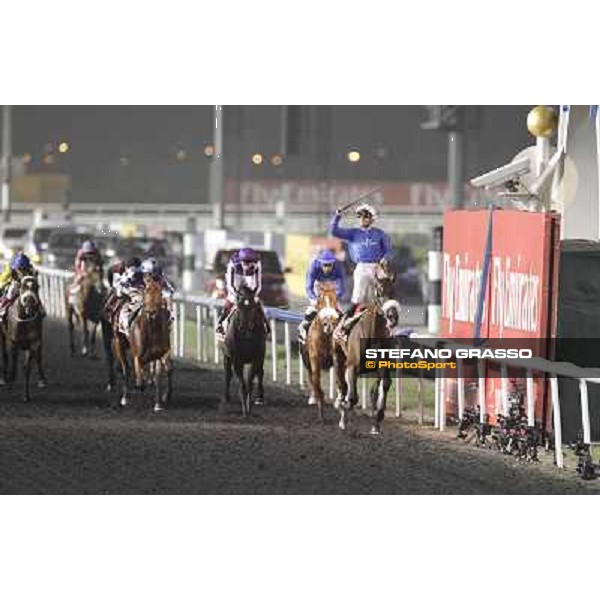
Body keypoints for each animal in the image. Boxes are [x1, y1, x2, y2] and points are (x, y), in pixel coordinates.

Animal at [0, 276, 47, 404]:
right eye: (22, 287)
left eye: (37, 287)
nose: (29, 302)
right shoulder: (13, 342)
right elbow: (13, 366)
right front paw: (10, 381)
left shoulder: (32, 344)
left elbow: (27, 368)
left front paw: (26, 396)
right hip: (2, 335)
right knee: (4, 355)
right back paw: (4, 379)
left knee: (39, 358)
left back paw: (42, 380)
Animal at [112, 278, 171, 412]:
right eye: (146, 290)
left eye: (160, 292)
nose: (151, 312)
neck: (152, 331)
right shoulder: (137, 356)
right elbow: (140, 376)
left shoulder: (161, 353)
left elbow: (164, 373)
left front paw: (160, 401)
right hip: (119, 343)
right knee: (126, 369)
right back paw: (125, 398)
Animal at [220, 286, 264, 418]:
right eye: (239, 307)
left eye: (253, 307)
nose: (244, 328)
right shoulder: (236, 360)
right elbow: (242, 385)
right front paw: (245, 410)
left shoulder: (256, 358)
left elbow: (249, 384)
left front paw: (248, 408)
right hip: (226, 355)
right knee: (228, 373)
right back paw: (226, 397)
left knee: (261, 373)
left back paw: (260, 398)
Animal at [336, 264, 396, 434]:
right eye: (379, 291)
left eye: (394, 292)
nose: (392, 316)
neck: (372, 333)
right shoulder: (352, 366)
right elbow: (352, 397)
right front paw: (344, 412)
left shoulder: (383, 366)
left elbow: (384, 384)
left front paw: (377, 420)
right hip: (339, 359)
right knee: (343, 386)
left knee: (372, 390)